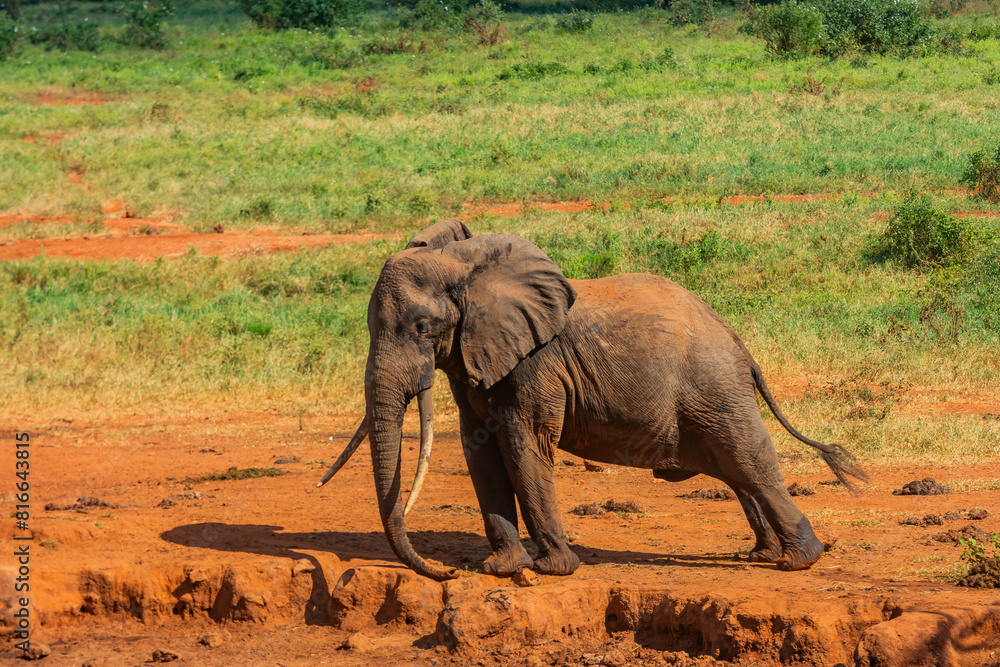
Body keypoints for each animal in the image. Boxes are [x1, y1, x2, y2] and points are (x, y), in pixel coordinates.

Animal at [319, 219, 866, 581]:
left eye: (421, 328)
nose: (445, 573)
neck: (464, 262)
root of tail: (741, 347)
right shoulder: (472, 357)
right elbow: (481, 452)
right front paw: (500, 568)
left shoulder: (535, 363)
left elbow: (523, 445)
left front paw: (553, 569)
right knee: (735, 472)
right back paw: (762, 556)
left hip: (715, 388)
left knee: (749, 460)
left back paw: (799, 560)